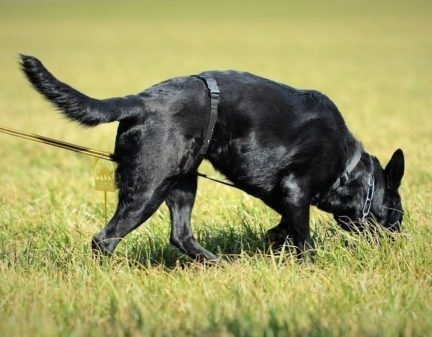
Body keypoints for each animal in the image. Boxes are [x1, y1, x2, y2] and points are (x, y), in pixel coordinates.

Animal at [20, 55, 404, 260]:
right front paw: (309, 265)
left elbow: (284, 225)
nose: (399, 241)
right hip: (149, 188)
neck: (349, 168)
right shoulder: (296, 190)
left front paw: (273, 239)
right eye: (397, 215)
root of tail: (139, 101)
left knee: (181, 235)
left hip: (182, 182)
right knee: (105, 239)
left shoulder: (284, 196)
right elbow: (304, 240)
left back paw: (218, 264)